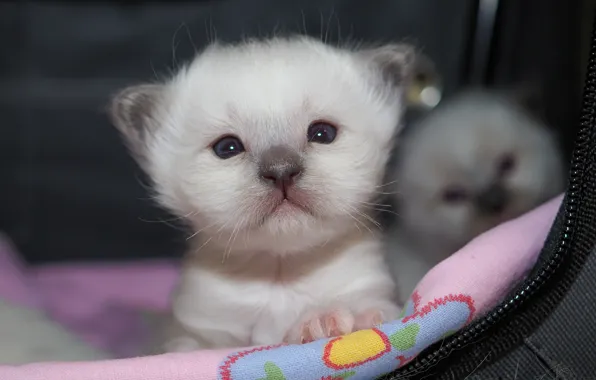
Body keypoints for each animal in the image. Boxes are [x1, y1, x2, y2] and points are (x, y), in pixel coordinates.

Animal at [109, 35, 420, 350]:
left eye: (323, 133)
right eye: (227, 148)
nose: (281, 171)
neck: (280, 273)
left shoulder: (375, 291)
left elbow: (373, 310)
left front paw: (326, 322)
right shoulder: (194, 331)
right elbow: (191, 347)